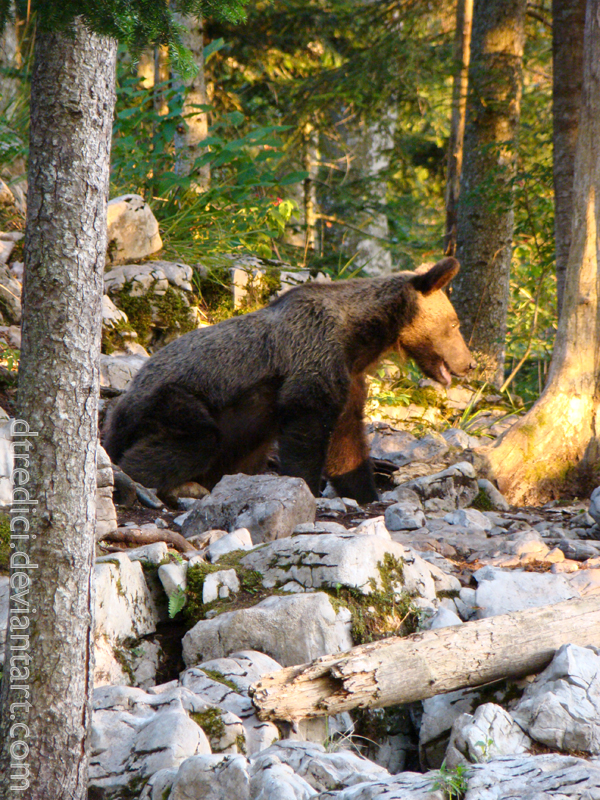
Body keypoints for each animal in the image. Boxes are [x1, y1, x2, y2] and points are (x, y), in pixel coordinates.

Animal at [105, 258, 476, 506]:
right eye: (455, 324)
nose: (469, 363)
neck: (359, 339)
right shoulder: (312, 356)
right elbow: (306, 429)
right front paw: (307, 487)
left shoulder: (348, 378)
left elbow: (347, 440)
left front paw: (366, 492)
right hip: (169, 399)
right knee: (194, 439)